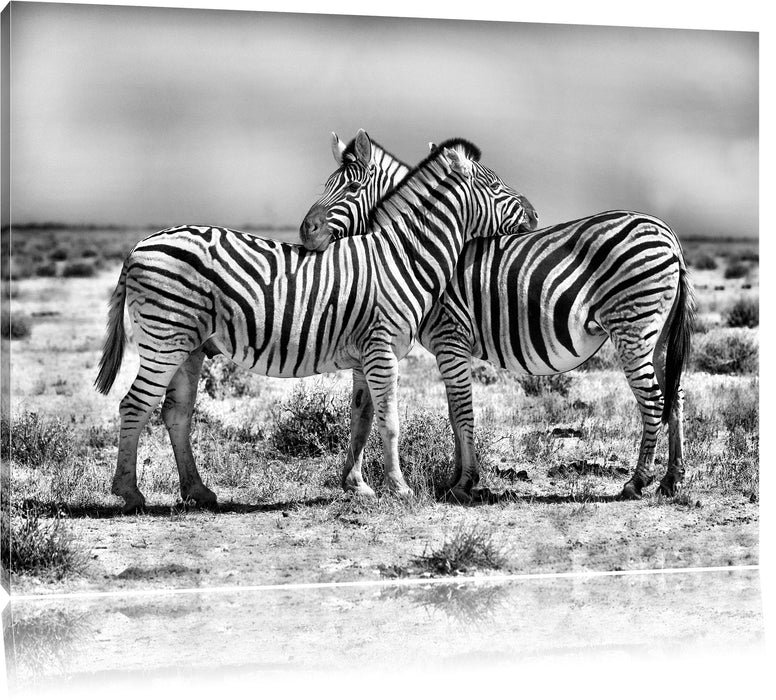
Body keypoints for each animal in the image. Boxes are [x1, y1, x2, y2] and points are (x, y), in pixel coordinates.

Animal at [95, 131, 534, 512]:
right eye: (497, 186)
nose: (533, 214)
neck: (403, 256)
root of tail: (139, 246)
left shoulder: (365, 355)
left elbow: (362, 419)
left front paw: (360, 487)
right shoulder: (382, 349)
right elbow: (391, 420)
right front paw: (400, 488)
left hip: (189, 346)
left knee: (176, 412)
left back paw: (198, 491)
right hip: (164, 339)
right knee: (134, 405)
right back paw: (129, 493)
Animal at [299, 141, 695, 503]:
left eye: (351, 188)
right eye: (326, 184)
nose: (306, 232)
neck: (413, 250)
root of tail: (669, 236)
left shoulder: (450, 337)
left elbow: (462, 411)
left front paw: (464, 483)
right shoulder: (449, 347)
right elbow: (452, 412)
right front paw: (456, 478)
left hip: (632, 328)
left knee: (654, 401)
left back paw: (637, 482)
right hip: (656, 334)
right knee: (674, 396)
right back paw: (671, 480)